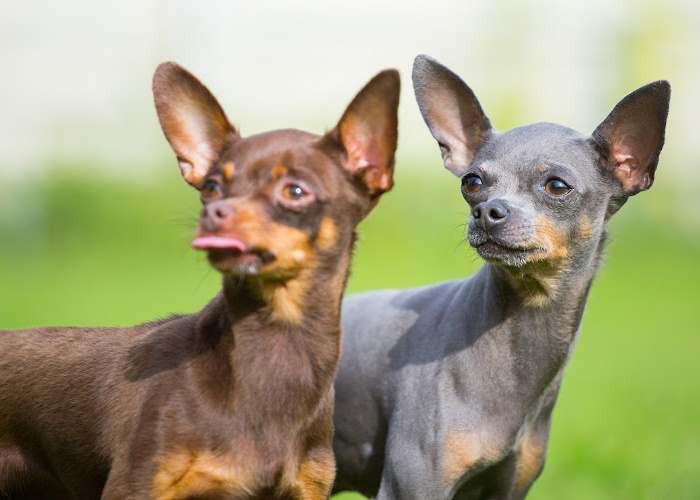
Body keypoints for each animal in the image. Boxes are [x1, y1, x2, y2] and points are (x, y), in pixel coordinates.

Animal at [0, 63, 400, 500]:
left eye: (295, 191)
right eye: (211, 188)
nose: (215, 212)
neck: (277, 341)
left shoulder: (307, 489)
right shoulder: (136, 485)